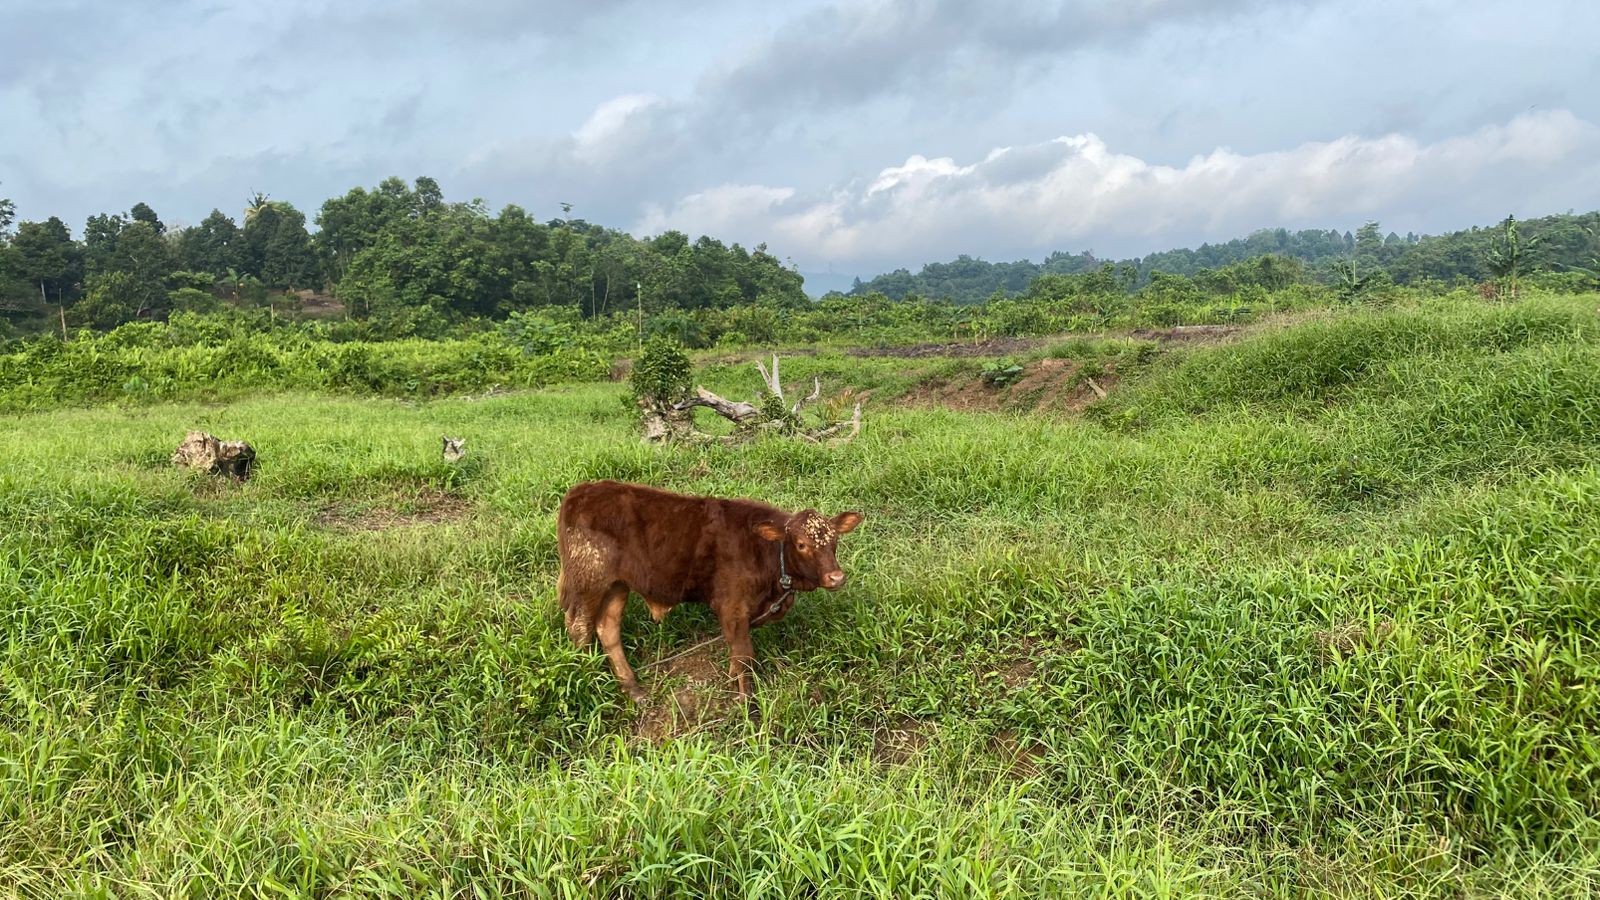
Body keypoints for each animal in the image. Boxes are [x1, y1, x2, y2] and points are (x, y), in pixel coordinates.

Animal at [563, 480, 864, 698]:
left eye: (835, 540)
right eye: (801, 544)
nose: (836, 577)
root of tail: (582, 490)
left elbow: (736, 654)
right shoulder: (732, 607)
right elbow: (744, 655)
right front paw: (746, 706)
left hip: (617, 585)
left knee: (607, 627)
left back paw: (633, 689)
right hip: (588, 580)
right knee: (580, 628)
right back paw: (583, 675)